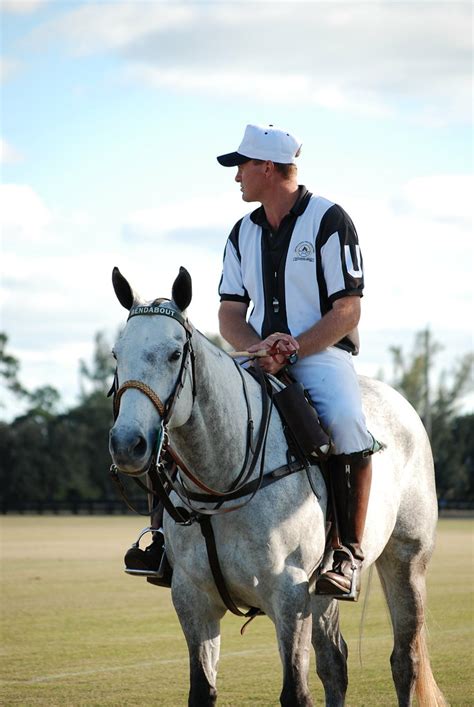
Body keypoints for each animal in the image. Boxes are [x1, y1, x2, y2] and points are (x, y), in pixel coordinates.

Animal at [107, 266, 444, 707]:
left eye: (174, 353)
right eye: (117, 354)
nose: (128, 444)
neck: (223, 483)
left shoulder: (289, 597)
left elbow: (295, 692)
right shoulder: (192, 599)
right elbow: (203, 690)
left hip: (406, 560)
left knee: (405, 660)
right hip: (322, 592)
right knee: (335, 663)